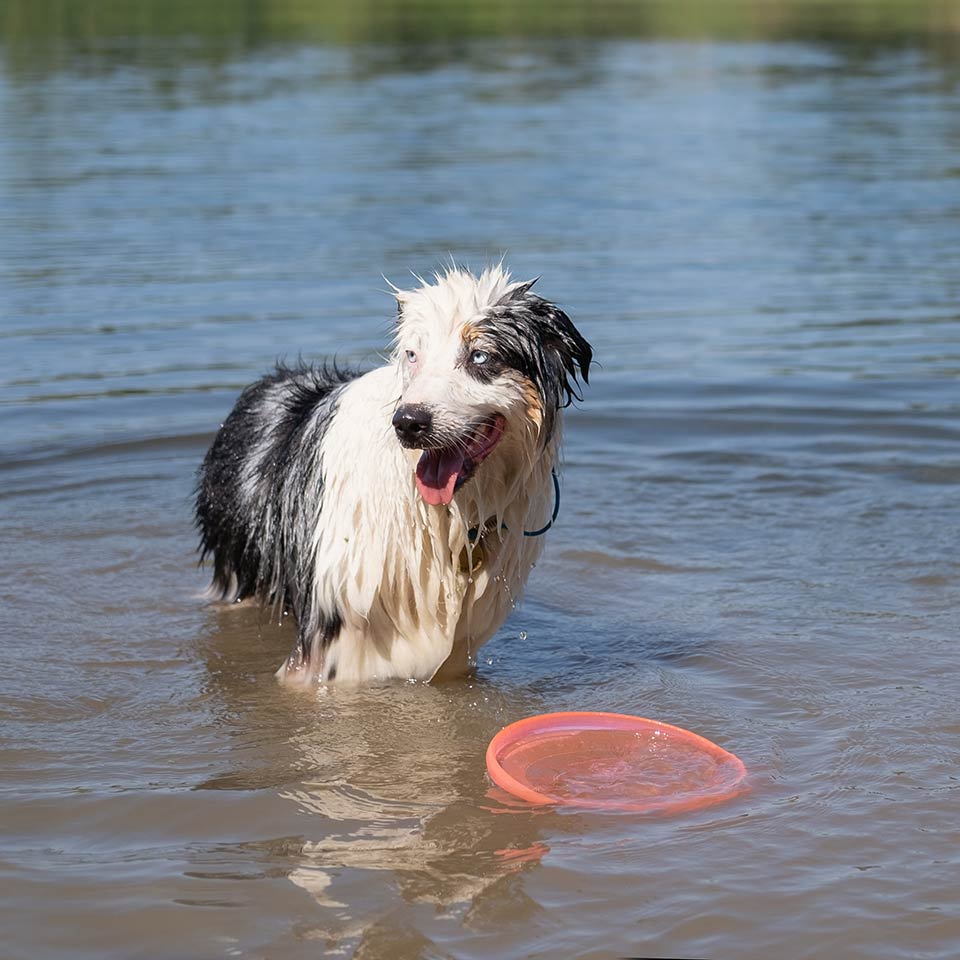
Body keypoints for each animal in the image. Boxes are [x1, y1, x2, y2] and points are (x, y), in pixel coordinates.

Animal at [196, 264, 592, 684]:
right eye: (413, 355)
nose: (408, 423)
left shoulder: (458, 652)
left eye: (480, 356)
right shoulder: (328, 647)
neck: (446, 513)